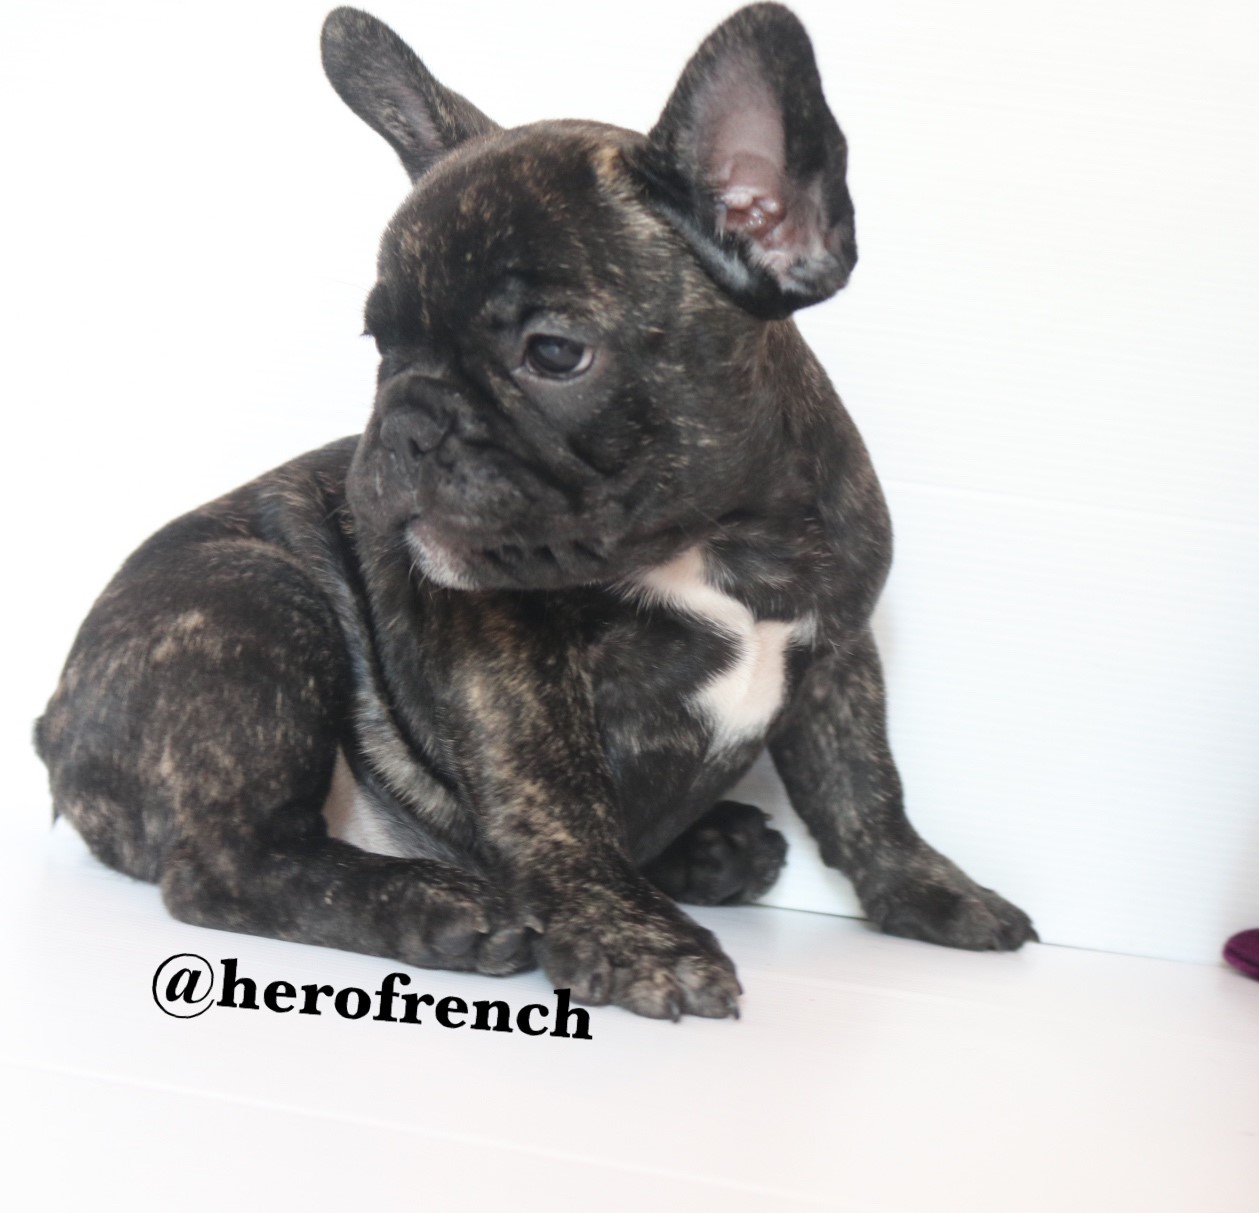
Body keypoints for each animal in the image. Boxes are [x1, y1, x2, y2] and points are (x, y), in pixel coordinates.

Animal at [36, 4, 1036, 1021]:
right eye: (380, 341)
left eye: (553, 353)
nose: (409, 420)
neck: (714, 541)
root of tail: (53, 724)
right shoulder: (508, 658)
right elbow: (558, 796)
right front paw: (638, 939)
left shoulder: (838, 649)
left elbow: (863, 787)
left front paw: (930, 890)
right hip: (252, 604)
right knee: (224, 863)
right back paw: (437, 908)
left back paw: (715, 848)